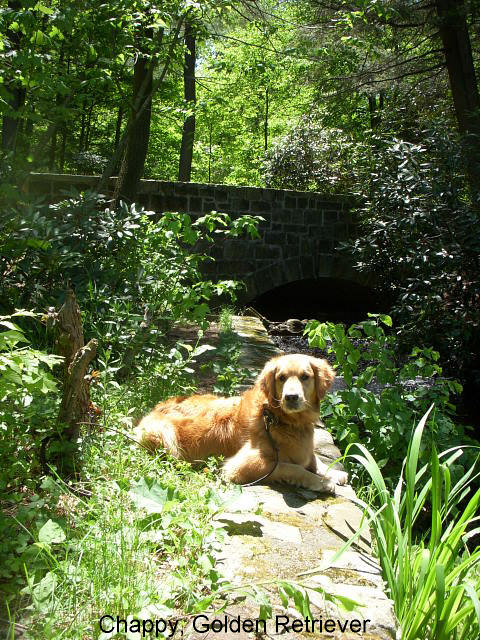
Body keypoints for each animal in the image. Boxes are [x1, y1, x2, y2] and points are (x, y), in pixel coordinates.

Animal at [134, 354, 348, 493]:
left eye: (305, 376)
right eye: (281, 378)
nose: (291, 397)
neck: (279, 419)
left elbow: (314, 459)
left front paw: (333, 473)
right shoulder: (241, 466)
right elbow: (292, 467)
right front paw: (321, 481)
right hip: (165, 435)